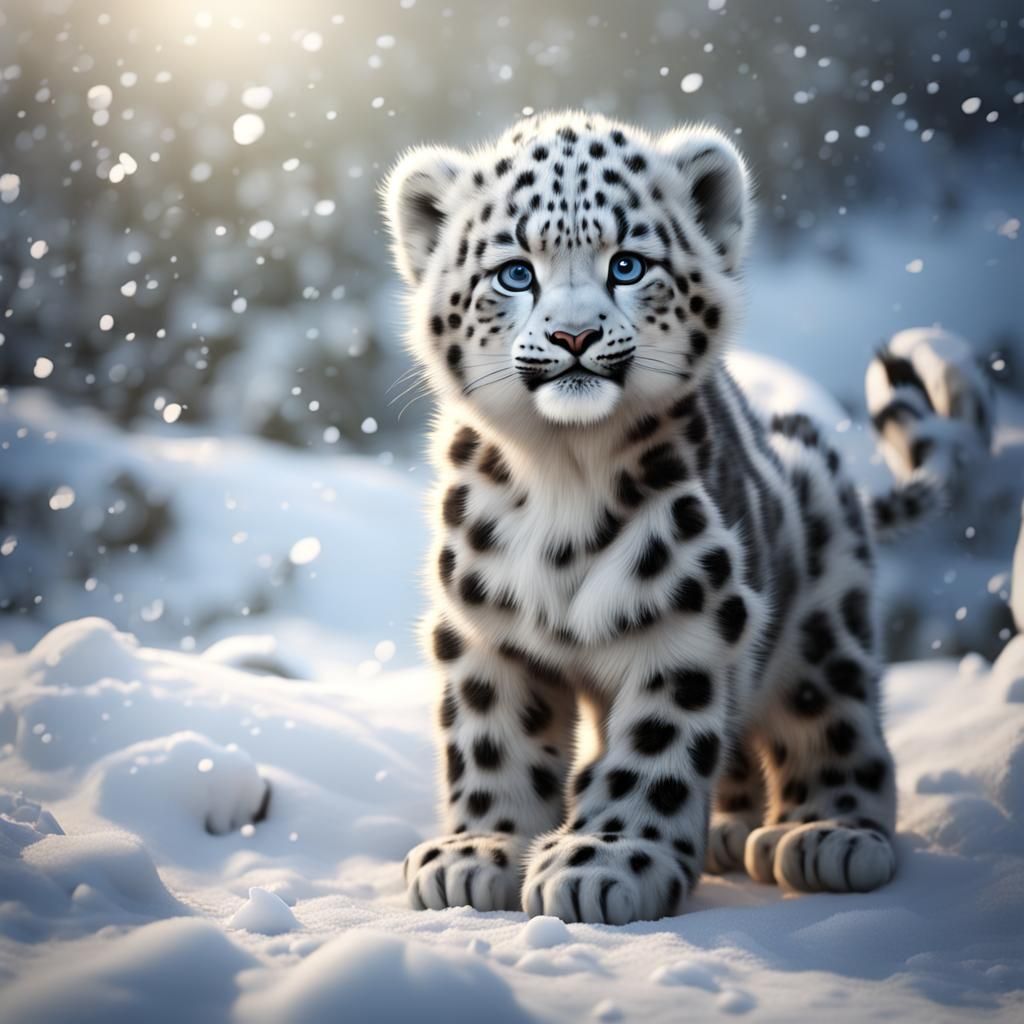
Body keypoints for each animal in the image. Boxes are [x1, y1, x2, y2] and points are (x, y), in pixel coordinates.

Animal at [382, 110, 973, 924]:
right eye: (515, 272)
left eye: (628, 265)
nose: (574, 337)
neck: (564, 474)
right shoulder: (484, 631)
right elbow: (493, 742)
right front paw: (479, 853)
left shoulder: (686, 618)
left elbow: (654, 752)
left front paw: (602, 864)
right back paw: (728, 830)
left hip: (826, 623)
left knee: (833, 714)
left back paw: (828, 836)